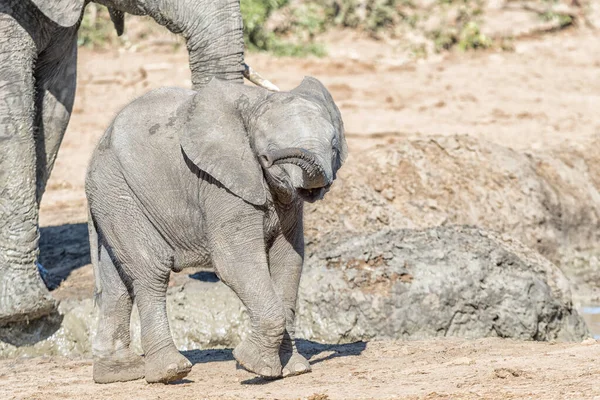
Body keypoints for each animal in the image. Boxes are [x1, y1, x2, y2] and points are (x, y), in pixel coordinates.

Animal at [85, 76, 346, 384]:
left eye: (333, 145)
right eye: (268, 150)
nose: (267, 159)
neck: (257, 101)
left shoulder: (287, 204)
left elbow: (289, 261)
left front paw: (294, 369)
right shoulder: (221, 183)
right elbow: (235, 262)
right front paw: (254, 366)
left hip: (113, 196)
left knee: (118, 279)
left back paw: (119, 373)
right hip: (118, 190)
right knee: (152, 269)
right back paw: (170, 372)